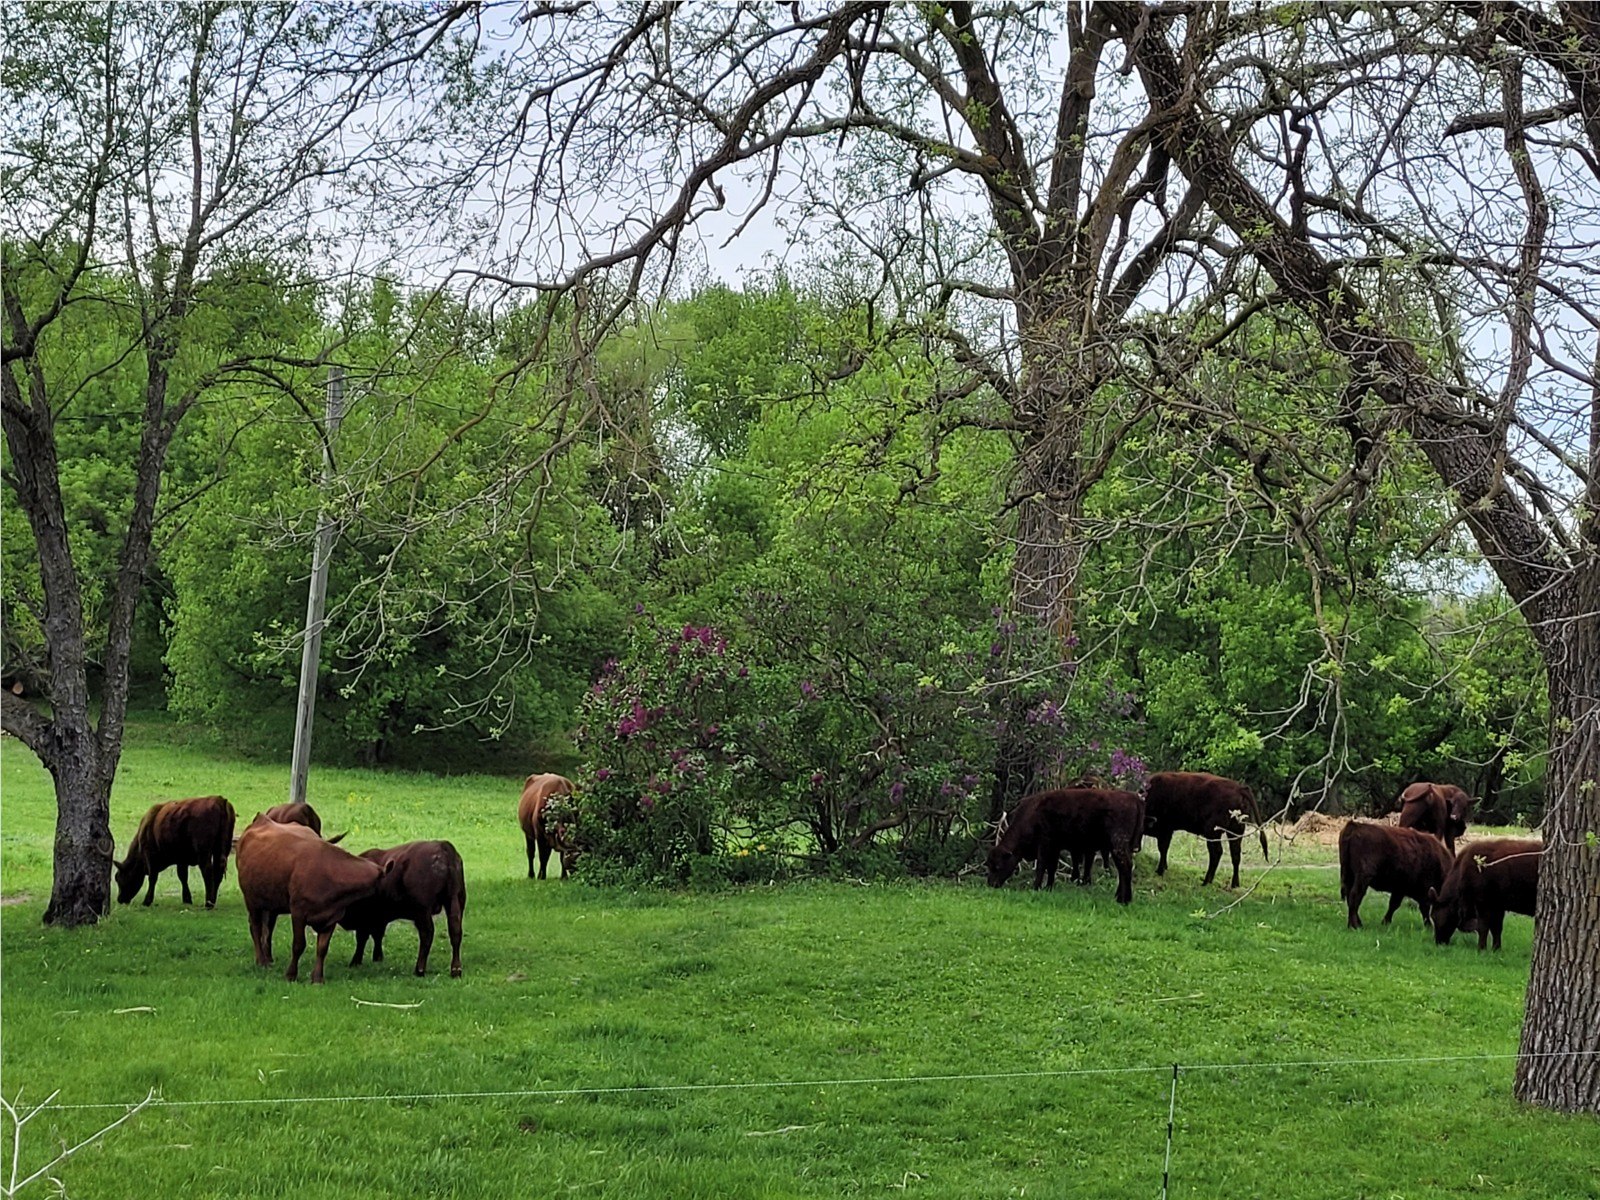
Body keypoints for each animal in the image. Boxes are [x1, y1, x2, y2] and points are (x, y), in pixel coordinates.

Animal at [235, 814, 393, 984]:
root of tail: (261, 818)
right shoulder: (298, 912)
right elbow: (298, 945)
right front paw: (291, 975)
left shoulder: (332, 916)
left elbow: (322, 948)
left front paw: (317, 978)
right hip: (251, 898)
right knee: (256, 927)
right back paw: (261, 961)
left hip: (272, 901)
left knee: (268, 928)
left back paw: (269, 958)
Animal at [340, 841, 467, 978]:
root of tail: (443, 846)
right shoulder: (379, 918)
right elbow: (377, 935)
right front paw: (377, 958)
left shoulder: (366, 917)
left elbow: (362, 938)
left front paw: (355, 961)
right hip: (455, 902)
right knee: (455, 932)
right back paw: (456, 970)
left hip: (423, 911)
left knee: (427, 934)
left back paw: (419, 969)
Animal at [986, 787, 1145, 904]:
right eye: (989, 865)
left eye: (998, 866)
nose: (991, 884)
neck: (1032, 813)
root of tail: (1133, 797)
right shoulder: (1055, 847)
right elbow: (1052, 867)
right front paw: (1048, 887)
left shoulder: (1045, 844)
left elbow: (1041, 866)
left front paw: (1036, 887)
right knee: (1123, 868)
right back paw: (1119, 897)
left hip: (1118, 845)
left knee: (1125, 866)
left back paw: (1124, 900)